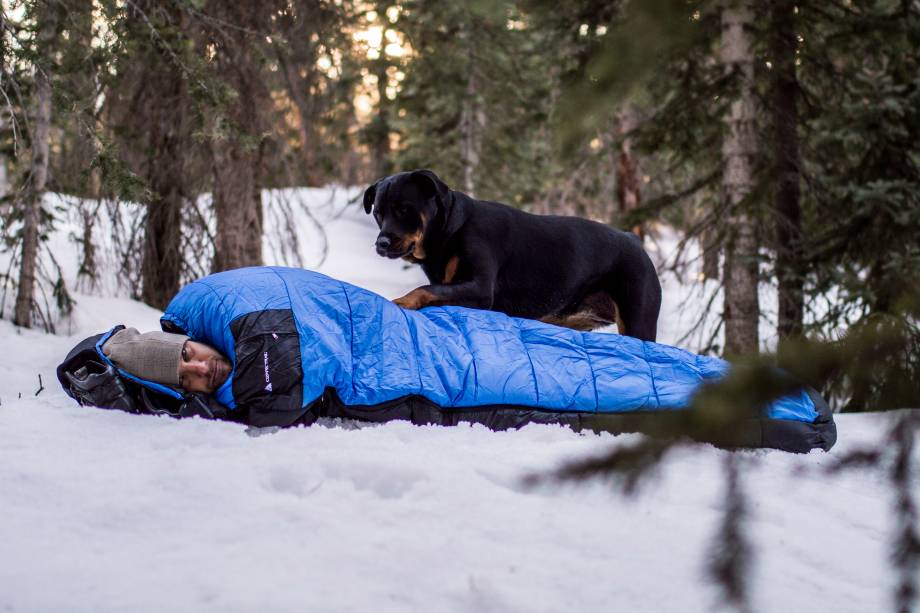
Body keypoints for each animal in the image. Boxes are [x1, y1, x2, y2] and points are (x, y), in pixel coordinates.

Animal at [362, 169, 660, 340]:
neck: (451, 229)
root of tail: (633, 240)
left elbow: (424, 289)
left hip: (637, 320)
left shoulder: (480, 288)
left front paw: (402, 301)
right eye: (378, 213)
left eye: (404, 210)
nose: (382, 243)